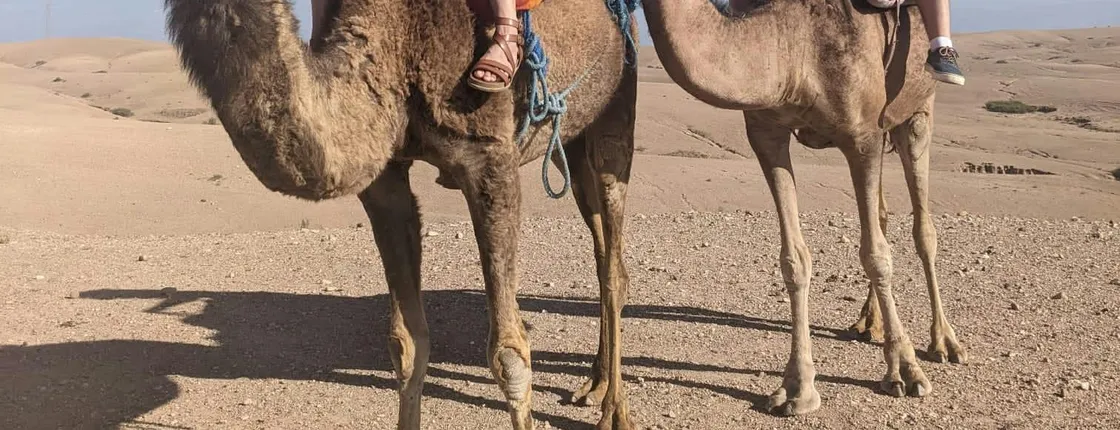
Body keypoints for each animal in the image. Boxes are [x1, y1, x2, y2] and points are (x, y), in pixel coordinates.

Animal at [161, 0, 640, 428]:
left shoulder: (490, 159)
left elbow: (508, 353)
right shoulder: (385, 182)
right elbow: (406, 343)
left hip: (618, 102)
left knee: (613, 256)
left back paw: (614, 413)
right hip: (572, 143)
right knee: (602, 247)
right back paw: (594, 384)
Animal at [639, 0, 968, 415]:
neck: (790, 44)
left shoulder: (862, 135)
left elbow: (877, 255)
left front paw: (905, 371)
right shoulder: (766, 131)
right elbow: (794, 260)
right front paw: (797, 388)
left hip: (917, 111)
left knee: (923, 230)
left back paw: (945, 342)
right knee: (880, 216)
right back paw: (868, 323)